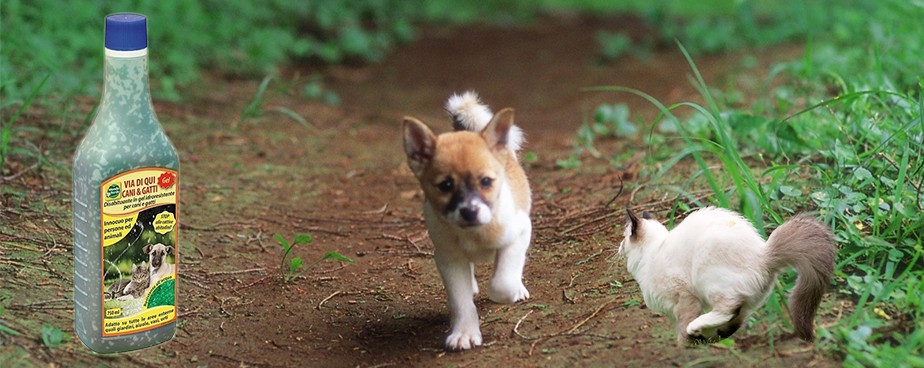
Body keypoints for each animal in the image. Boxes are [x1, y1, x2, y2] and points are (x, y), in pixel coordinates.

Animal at [404, 92, 536, 350]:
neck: (474, 234)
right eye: (445, 185)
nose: (469, 212)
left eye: (486, 181)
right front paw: (464, 332)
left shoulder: (520, 232)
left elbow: (502, 282)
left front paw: (510, 289)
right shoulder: (449, 258)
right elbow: (460, 300)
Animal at [620, 206, 836, 344]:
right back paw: (716, 334)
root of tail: (765, 256)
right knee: (737, 316)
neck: (650, 256)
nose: (619, 247)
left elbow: (682, 327)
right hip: (749, 298)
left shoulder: (685, 298)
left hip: (708, 279)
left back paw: (696, 329)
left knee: (727, 310)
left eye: (624, 237)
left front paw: (684, 345)